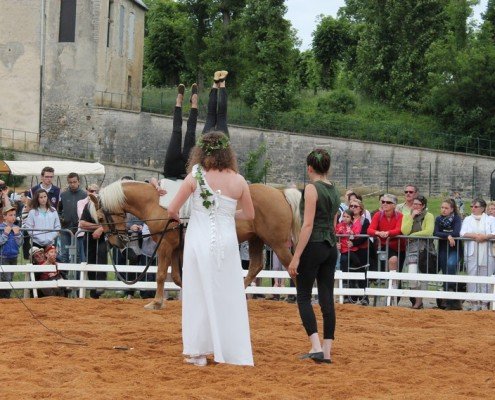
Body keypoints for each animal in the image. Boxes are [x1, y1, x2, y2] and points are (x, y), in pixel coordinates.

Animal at [91, 180, 301, 310]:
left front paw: (156, 302)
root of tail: (280, 192)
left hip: (277, 244)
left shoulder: (165, 245)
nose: (114, 242)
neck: (158, 203)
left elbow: (161, 275)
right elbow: (177, 277)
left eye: (100, 218)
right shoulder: (177, 247)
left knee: (292, 268)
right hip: (256, 239)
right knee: (255, 267)